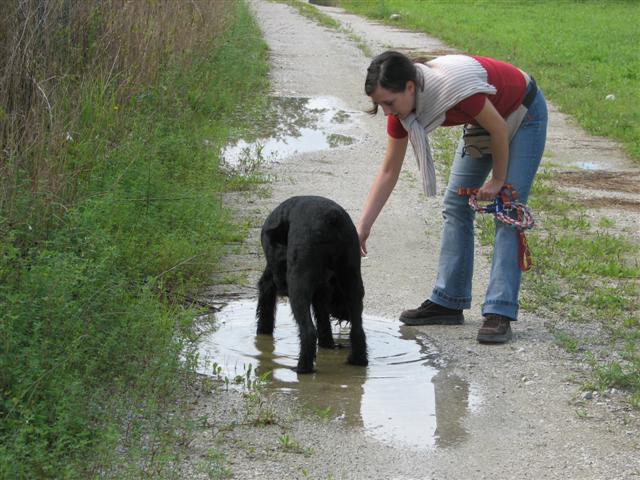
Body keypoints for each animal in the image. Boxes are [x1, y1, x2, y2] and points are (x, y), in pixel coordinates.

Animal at [254, 196, 364, 376]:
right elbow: (323, 320)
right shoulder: (322, 291)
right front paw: (327, 344)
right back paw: (358, 360)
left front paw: (263, 331)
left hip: (298, 286)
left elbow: (266, 299)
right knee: (358, 328)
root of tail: (331, 218)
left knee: (308, 331)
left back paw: (302, 368)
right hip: (352, 278)